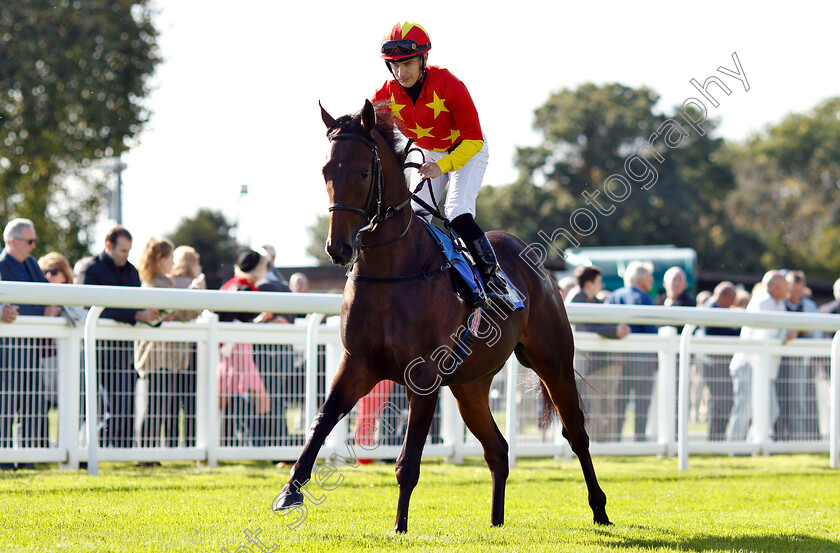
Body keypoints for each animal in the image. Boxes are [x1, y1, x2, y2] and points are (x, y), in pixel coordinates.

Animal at [274, 98, 612, 532]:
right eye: (326, 170)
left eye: (364, 171)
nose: (339, 248)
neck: (393, 270)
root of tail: (534, 261)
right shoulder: (357, 364)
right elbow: (322, 419)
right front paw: (291, 490)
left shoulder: (424, 375)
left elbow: (409, 459)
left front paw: (399, 525)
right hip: (471, 384)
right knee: (498, 448)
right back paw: (496, 521)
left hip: (552, 361)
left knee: (576, 434)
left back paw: (600, 509)